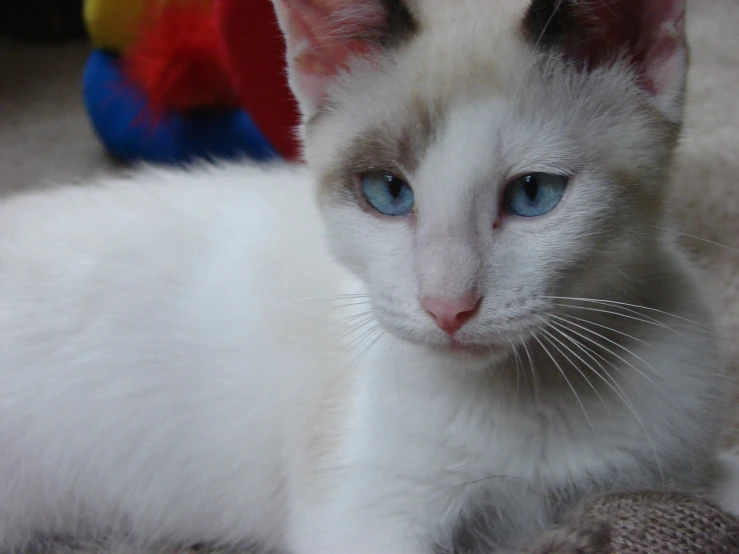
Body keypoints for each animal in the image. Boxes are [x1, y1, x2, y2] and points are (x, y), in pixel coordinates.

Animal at [0, 0, 736, 548]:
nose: (447, 307)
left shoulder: (681, 460)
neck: (532, 393)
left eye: (533, 194)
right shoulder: (367, 516)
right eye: (386, 192)